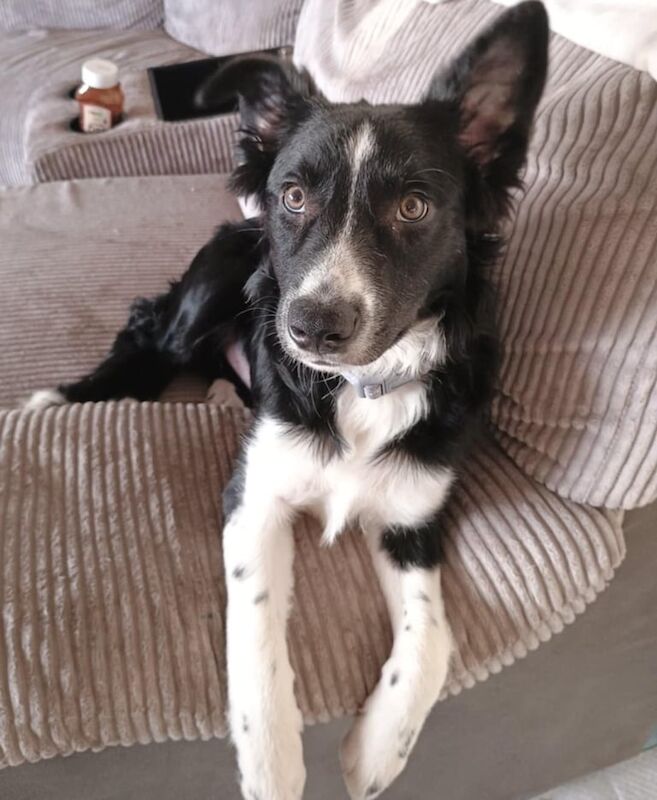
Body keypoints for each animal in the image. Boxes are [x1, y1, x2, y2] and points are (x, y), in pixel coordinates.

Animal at [26, 3, 548, 796]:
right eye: (295, 196)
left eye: (414, 206)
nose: (310, 327)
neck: (361, 388)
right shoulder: (255, 496)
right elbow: (256, 631)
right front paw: (272, 762)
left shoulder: (413, 521)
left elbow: (435, 634)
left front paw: (375, 753)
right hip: (216, 282)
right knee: (149, 339)